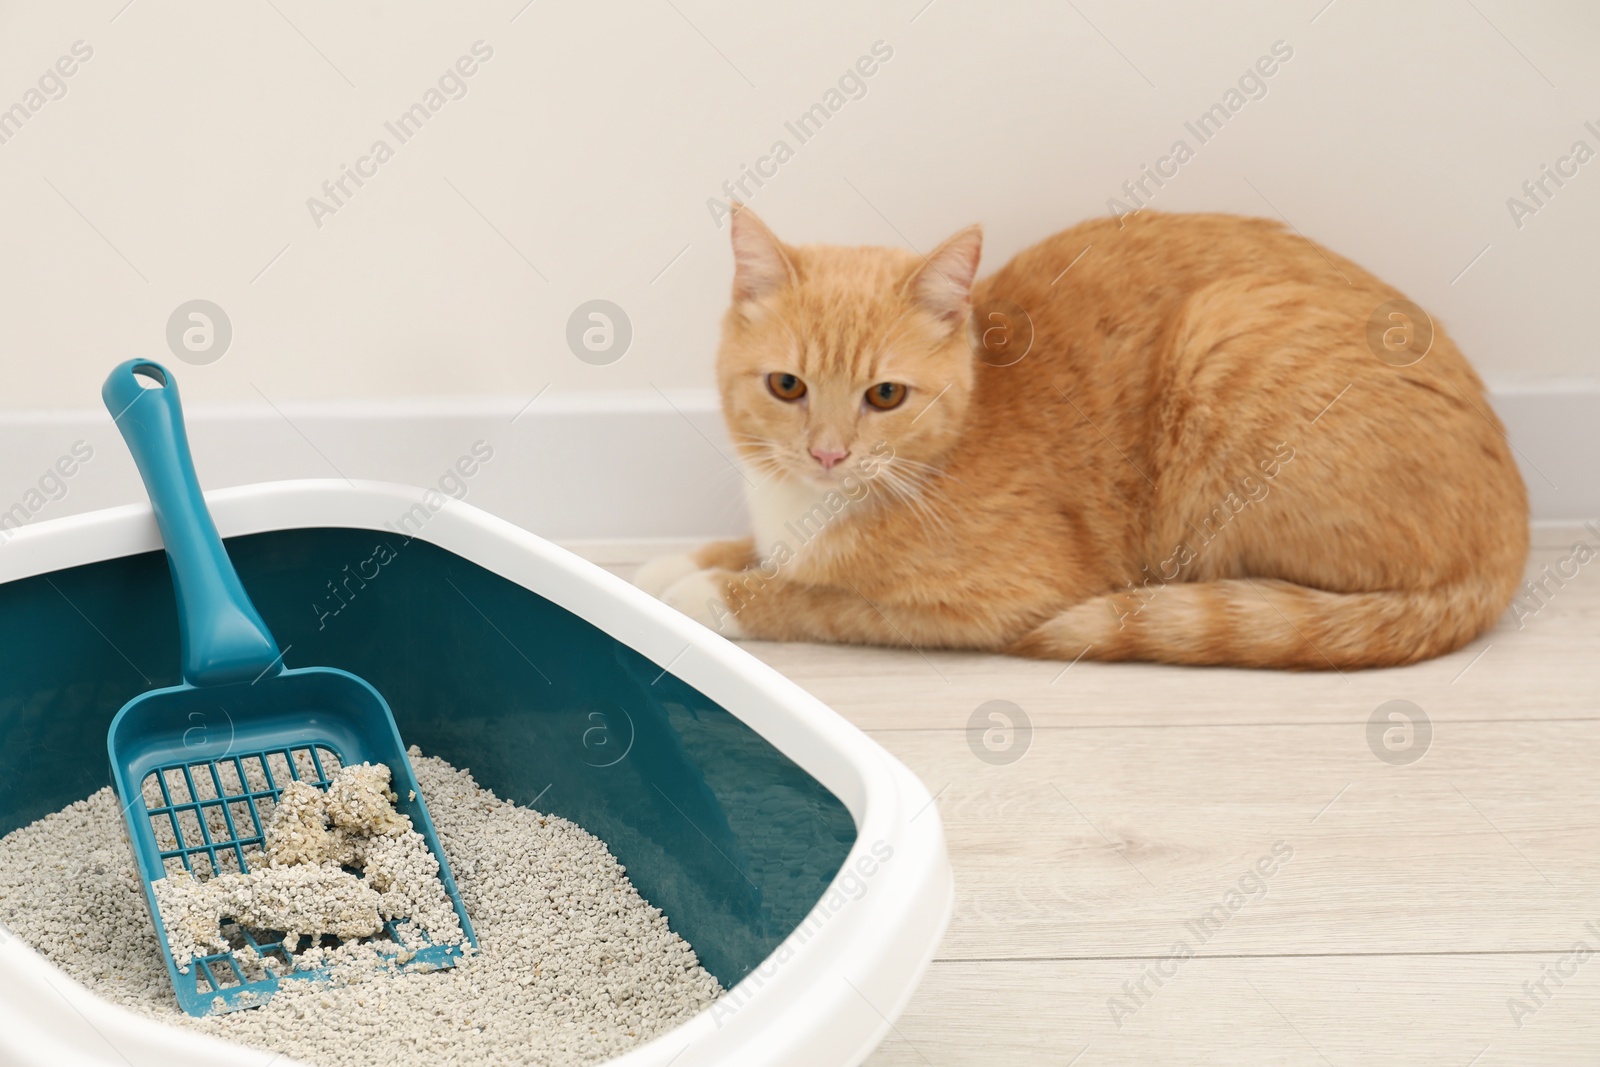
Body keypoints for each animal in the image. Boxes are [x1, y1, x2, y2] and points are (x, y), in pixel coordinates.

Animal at [633, 207, 1523, 668]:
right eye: (787, 387)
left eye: (884, 395)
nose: (827, 453)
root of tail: (1514, 526)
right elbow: (756, 550)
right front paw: (680, 563)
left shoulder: (1000, 599)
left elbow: (818, 596)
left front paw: (711, 593)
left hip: (1223, 336)